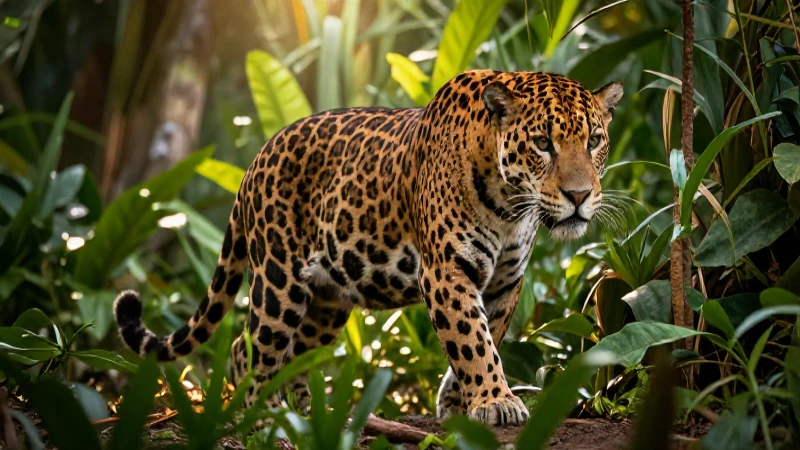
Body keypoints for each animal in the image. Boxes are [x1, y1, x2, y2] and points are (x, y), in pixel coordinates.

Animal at [113, 69, 623, 426]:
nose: (579, 196)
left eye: (595, 140)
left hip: (326, 301)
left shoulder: (505, 280)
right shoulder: (445, 271)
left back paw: (307, 412)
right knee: (251, 346)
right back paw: (265, 415)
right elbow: (471, 339)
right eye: (542, 143)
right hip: (279, 281)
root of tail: (256, 159)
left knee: (287, 351)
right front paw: (495, 401)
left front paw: (459, 402)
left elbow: (488, 334)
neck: (509, 208)